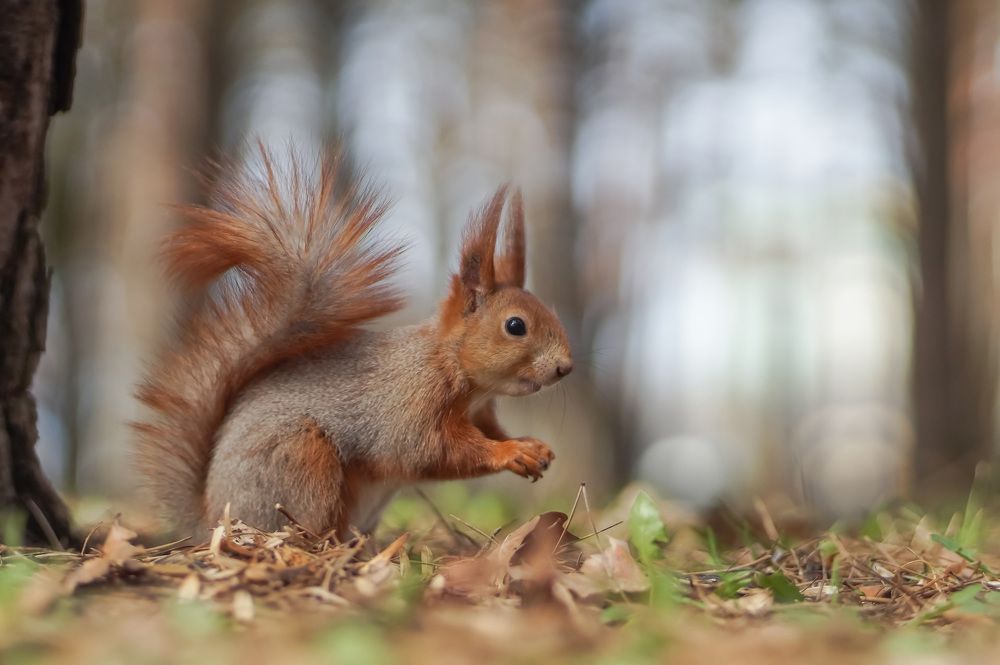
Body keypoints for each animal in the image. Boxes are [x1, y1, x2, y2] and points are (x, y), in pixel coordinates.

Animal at [133, 146, 573, 539]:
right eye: (515, 325)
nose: (565, 368)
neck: (452, 366)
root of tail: (212, 521)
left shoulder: (482, 412)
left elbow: (492, 431)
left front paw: (534, 445)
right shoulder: (409, 406)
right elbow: (429, 451)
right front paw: (510, 453)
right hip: (300, 461)